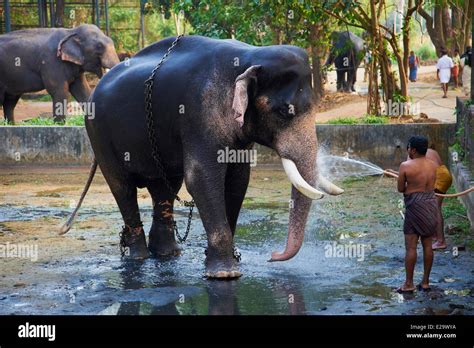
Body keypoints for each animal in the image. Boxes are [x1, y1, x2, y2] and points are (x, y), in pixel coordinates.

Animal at [63, 36, 344, 280]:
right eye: (284, 112)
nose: (273, 256)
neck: (249, 56)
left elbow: (238, 181)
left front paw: (227, 263)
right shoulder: (198, 114)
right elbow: (201, 179)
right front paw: (225, 274)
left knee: (164, 187)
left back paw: (167, 254)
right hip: (98, 135)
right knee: (122, 187)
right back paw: (139, 257)